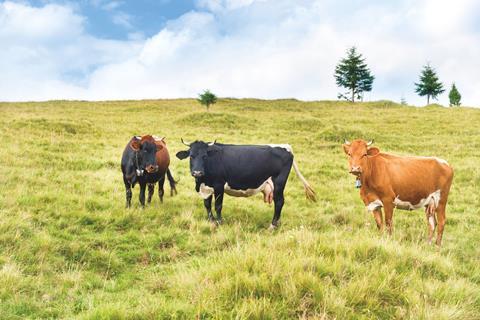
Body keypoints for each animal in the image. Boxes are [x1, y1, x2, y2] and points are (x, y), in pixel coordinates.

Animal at [176, 139, 316, 228]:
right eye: (191, 156)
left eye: (205, 156)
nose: (197, 172)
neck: (202, 181)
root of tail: (285, 146)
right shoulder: (206, 188)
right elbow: (207, 205)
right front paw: (212, 221)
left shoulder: (219, 185)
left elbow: (218, 206)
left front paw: (220, 222)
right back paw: (277, 223)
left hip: (279, 182)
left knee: (279, 202)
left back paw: (272, 225)